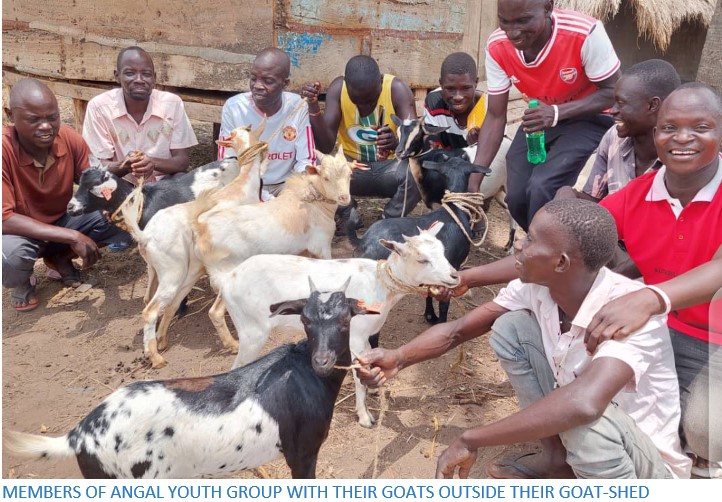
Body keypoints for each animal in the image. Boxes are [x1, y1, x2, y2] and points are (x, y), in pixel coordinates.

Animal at [5, 278, 374, 478]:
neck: (303, 374)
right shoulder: (303, 452)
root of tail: (78, 435)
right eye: (306, 321)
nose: (322, 361)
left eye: (345, 320)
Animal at [222, 224, 458, 428]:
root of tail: (227, 281)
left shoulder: (366, 335)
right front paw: (365, 417)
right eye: (422, 259)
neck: (379, 285)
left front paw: (374, 387)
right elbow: (357, 375)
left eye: (443, 250)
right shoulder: (355, 336)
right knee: (236, 367)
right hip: (252, 332)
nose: (454, 276)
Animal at [348, 157, 484, 326]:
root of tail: (362, 242)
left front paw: (430, 316)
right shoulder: (453, 266)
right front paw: (441, 322)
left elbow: (428, 293)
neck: (453, 211)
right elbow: (444, 303)